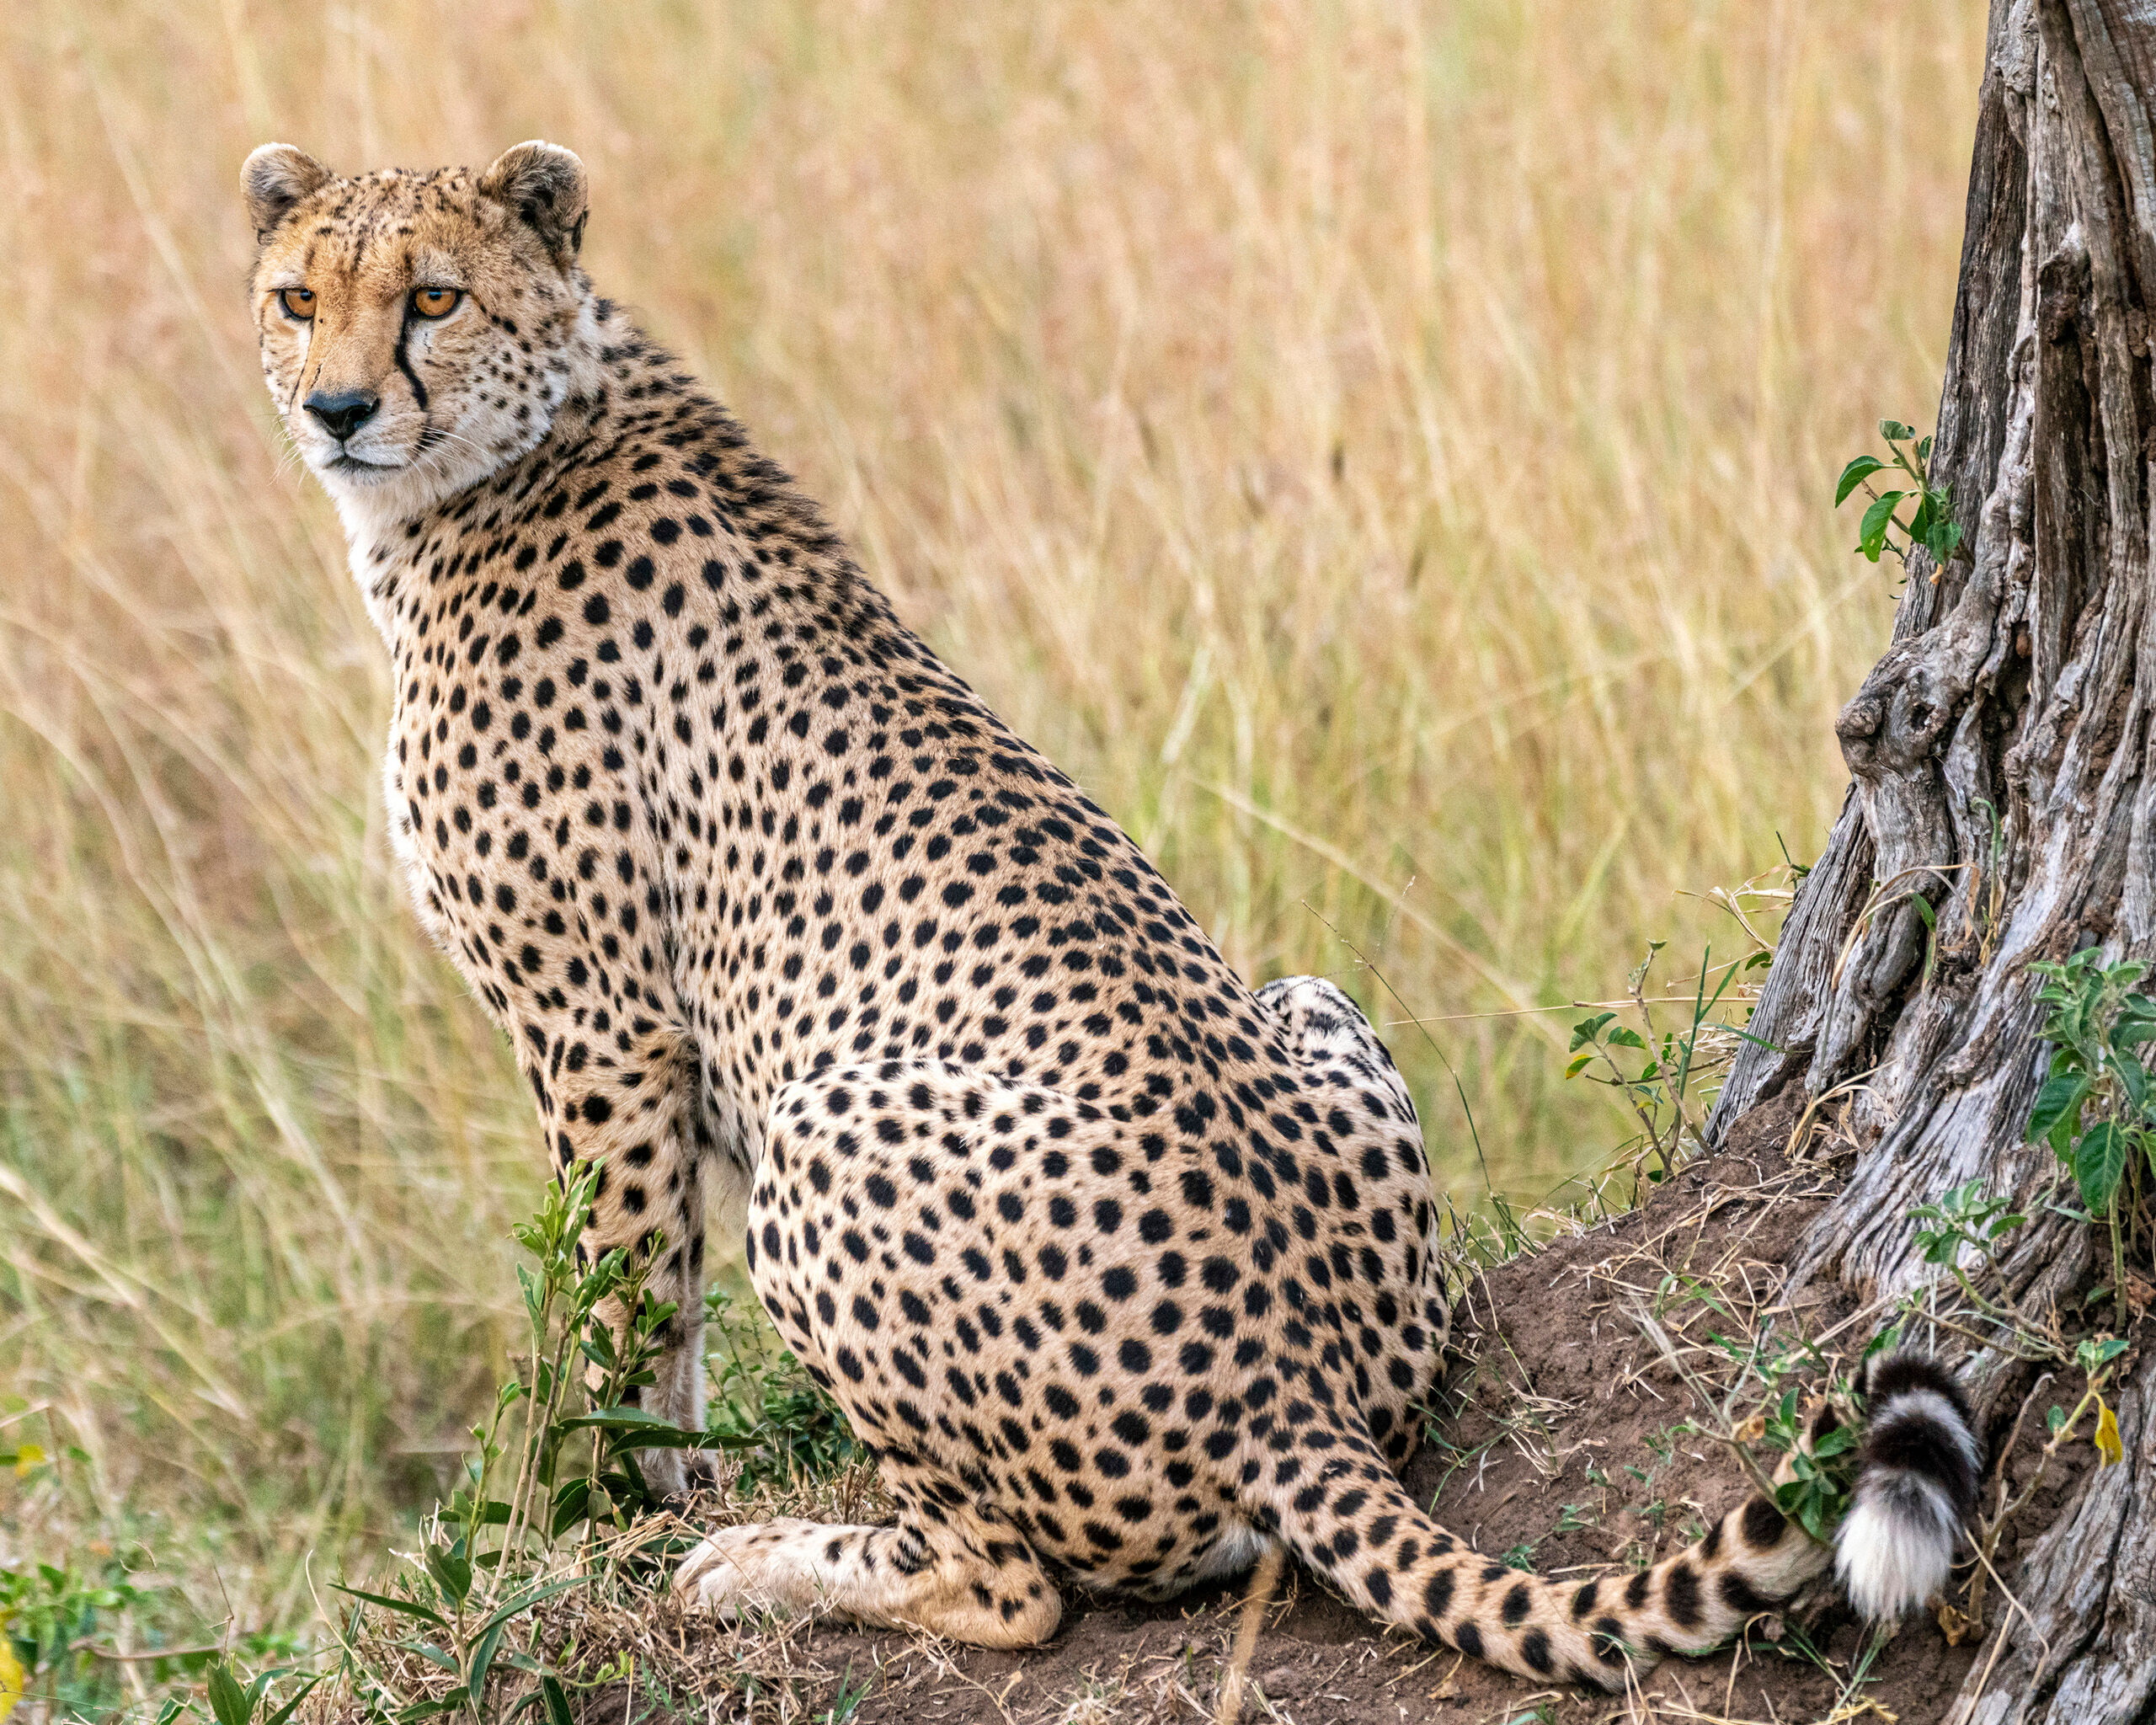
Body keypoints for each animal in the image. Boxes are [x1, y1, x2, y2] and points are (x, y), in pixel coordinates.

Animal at [244, 138, 1980, 1690]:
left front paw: (592, 1517)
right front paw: (631, 1495)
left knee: (1015, 1585)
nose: (336, 408)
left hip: (823, 1132)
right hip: (1308, 998)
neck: (517, 444)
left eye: (433, 297)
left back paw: (762, 1563)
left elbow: (615, 1303)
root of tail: (1303, 1388)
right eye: (296, 298)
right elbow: (648, 1314)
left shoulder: (601, 1029)